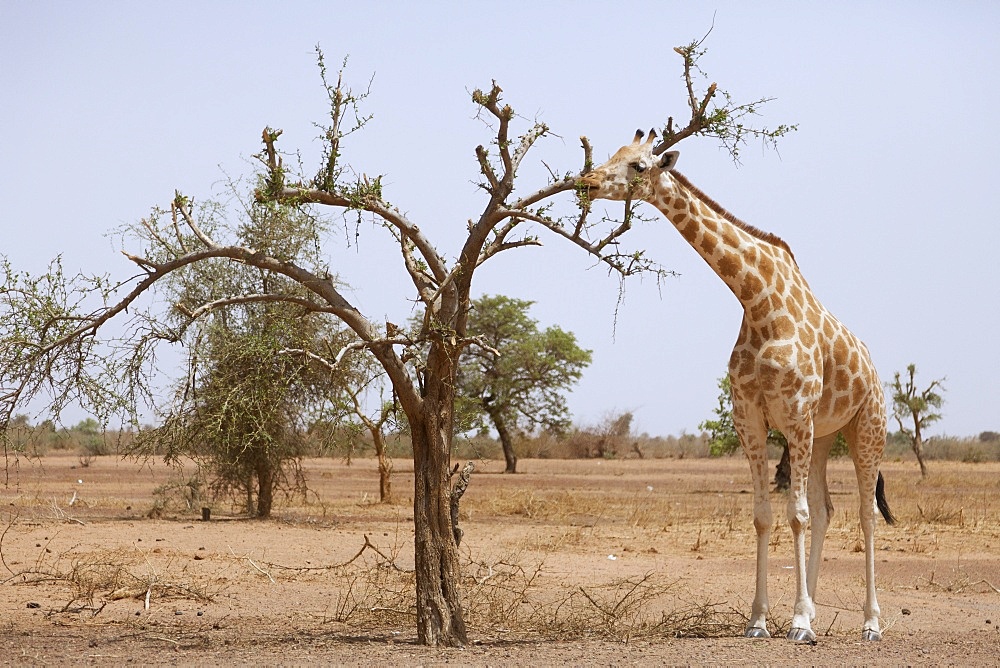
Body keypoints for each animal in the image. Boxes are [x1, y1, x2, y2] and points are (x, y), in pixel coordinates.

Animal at [580, 129, 900, 640]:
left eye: (638, 166)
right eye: (613, 153)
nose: (587, 182)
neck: (757, 300)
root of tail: (872, 366)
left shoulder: (795, 414)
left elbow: (795, 515)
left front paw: (798, 625)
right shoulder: (751, 418)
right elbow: (765, 516)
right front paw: (762, 620)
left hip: (866, 427)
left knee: (866, 514)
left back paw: (871, 623)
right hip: (824, 435)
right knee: (826, 509)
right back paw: (816, 608)